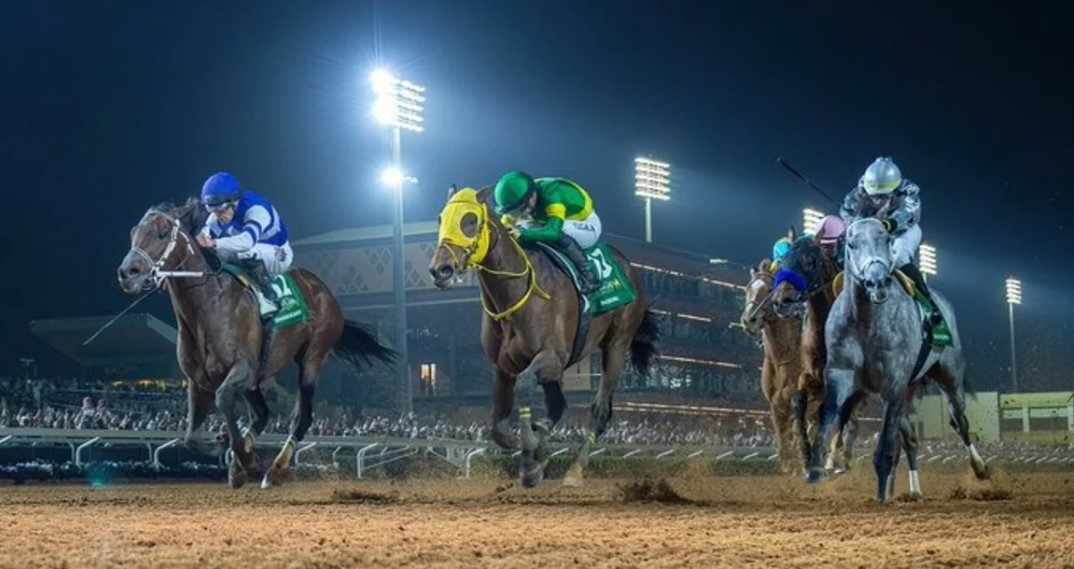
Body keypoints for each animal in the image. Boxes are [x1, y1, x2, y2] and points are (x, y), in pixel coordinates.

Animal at [114, 198, 399, 487]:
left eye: (162, 233)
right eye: (133, 232)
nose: (128, 273)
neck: (209, 304)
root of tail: (323, 290)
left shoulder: (243, 369)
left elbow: (223, 399)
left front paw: (243, 457)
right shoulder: (198, 382)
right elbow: (190, 438)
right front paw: (230, 448)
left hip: (312, 357)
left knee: (301, 418)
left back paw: (275, 469)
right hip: (257, 380)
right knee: (262, 414)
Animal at [425, 183, 652, 485]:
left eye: (470, 220)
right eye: (440, 218)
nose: (440, 270)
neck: (515, 294)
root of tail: (628, 265)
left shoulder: (551, 356)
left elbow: (530, 387)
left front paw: (533, 450)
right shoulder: (502, 367)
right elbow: (500, 429)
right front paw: (530, 453)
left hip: (617, 344)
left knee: (600, 410)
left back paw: (575, 470)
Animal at [807, 216, 988, 500]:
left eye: (886, 239)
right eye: (851, 244)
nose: (877, 282)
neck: (866, 321)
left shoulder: (893, 382)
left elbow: (884, 447)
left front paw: (881, 492)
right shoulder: (841, 375)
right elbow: (829, 413)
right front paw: (819, 466)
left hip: (949, 376)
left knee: (959, 422)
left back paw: (979, 468)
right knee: (910, 439)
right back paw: (910, 490)